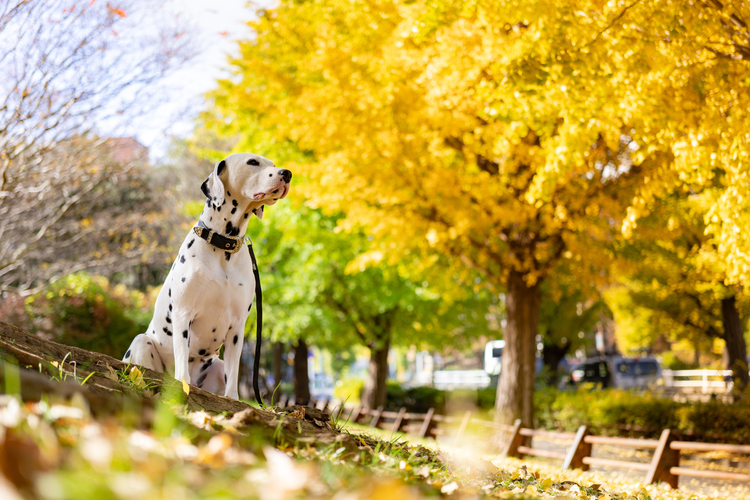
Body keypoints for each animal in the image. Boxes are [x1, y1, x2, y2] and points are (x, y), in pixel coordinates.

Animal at [122, 152, 292, 398]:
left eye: (273, 164)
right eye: (253, 162)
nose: (287, 174)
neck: (222, 246)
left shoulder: (237, 328)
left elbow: (233, 373)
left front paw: (232, 399)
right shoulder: (183, 314)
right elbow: (182, 360)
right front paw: (183, 386)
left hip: (217, 365)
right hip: (141, 343)